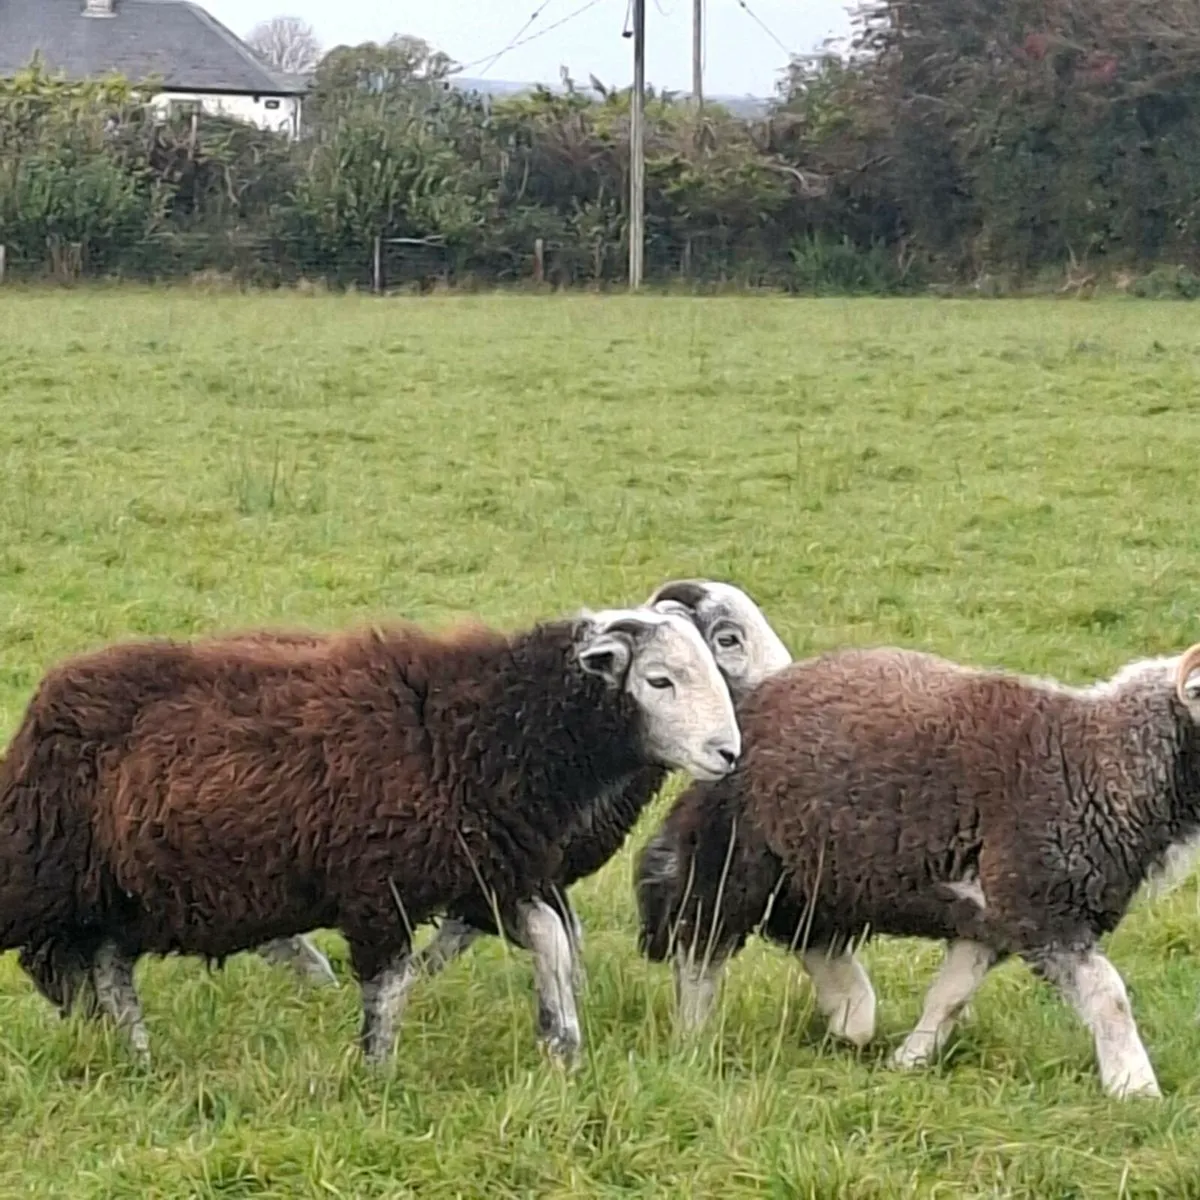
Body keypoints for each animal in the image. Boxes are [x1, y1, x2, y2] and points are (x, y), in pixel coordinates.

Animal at [0, 606, 740, 1068]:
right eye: (659, 679)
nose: (729, 752)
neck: (475, 728)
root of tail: (47, 702)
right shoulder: (379, 888)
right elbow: (389, 987)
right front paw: (375, 1072)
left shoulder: (477, 873)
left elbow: (551, 939)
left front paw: (561, 1043)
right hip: (45, 871)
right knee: (82, 961)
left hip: (124, 895)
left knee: (106, 967)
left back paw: (136, 1055)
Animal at [635, 642, 1200, 1100]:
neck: (1095, 763)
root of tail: (750, 703)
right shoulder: (1042, 912)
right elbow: (1110, 998)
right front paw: (1135, 1088)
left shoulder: (989, 920)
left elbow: (948, 997)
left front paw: (909, 1060)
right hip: (736, 860)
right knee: (702, 949)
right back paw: (694, 1037)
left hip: (818, 872)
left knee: (807, 935)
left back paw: (850, 1015)